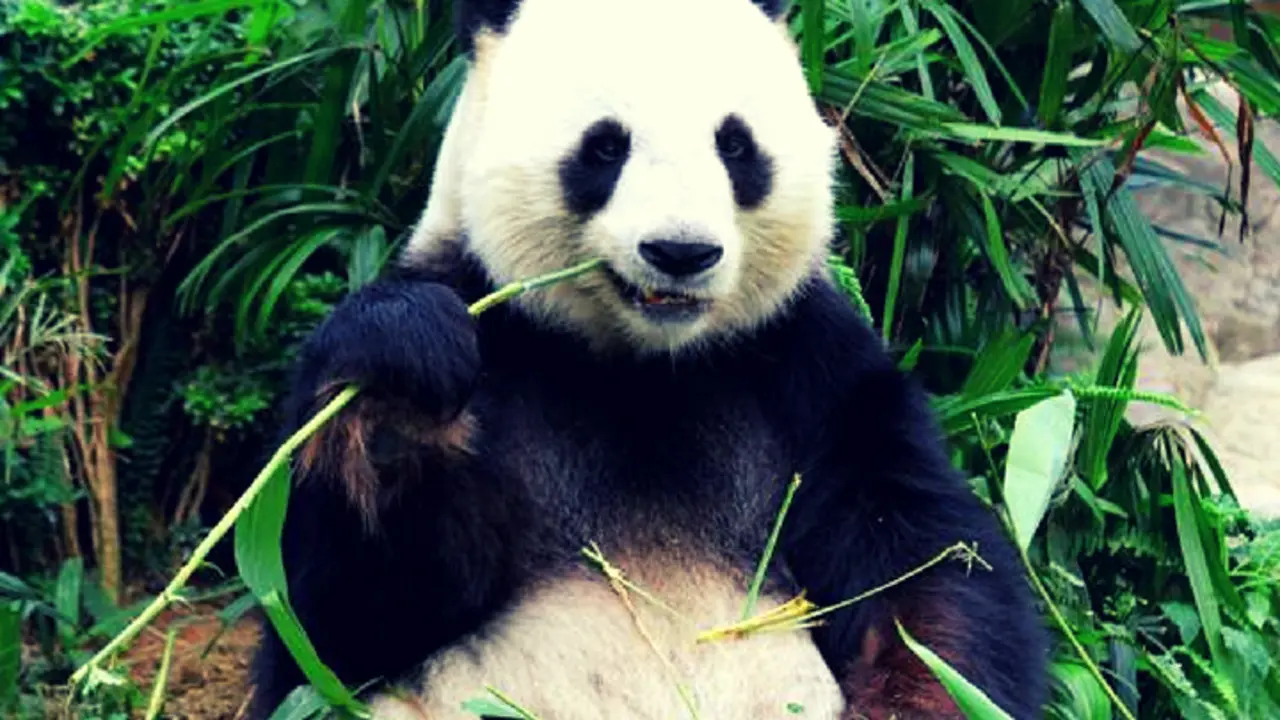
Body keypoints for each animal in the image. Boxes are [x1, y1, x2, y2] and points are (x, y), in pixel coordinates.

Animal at [248, 0, 1049, 718]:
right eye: (605, 147)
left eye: (735, 146)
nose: (681, 252)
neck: (642, 366)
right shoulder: (489, 319)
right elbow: (336, 626)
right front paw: (399, 390)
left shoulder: (808, 368)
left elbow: (924, 571)